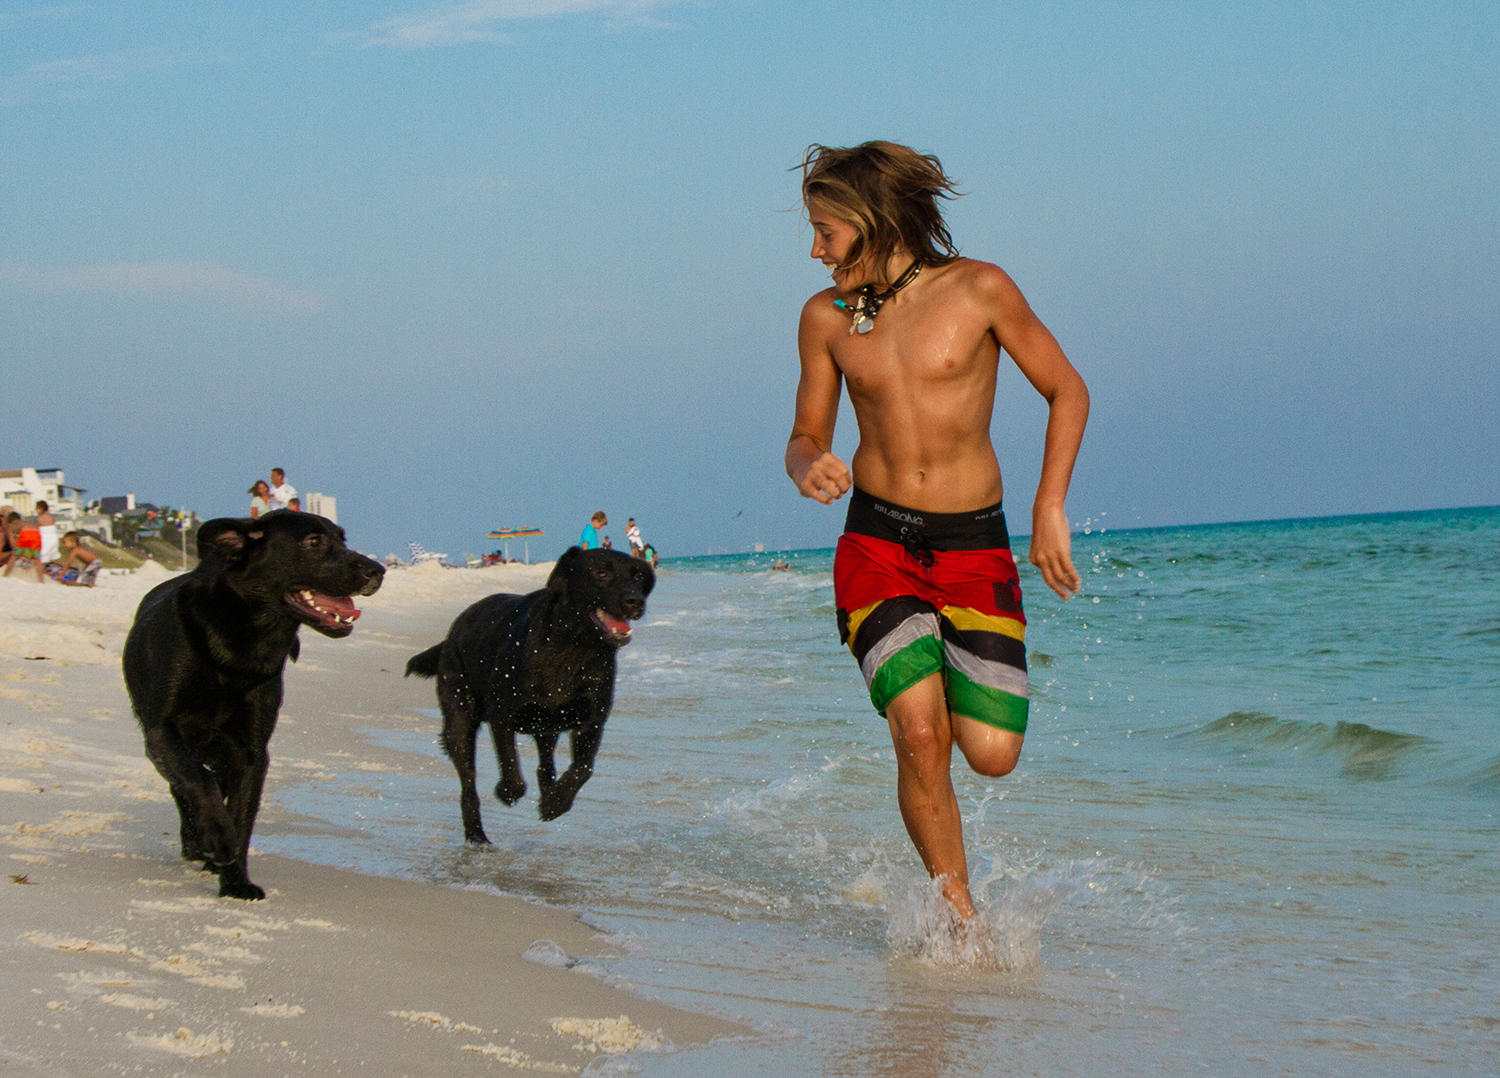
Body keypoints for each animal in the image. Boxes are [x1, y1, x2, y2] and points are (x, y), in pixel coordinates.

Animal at [123, 509, 384, 899]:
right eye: (313, 541)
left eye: (343, 538)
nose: (378, 571)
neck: (242, 641)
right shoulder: (162, 731)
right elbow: (197, 780)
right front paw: (216, 836)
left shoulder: (251, 751)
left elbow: (242, 817)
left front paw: (236, 883)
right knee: (183, 785)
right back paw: (196, 840)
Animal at [405, 548, 651, 845]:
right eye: (601, 572)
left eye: (637, 577)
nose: (635, 601)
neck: (573, 645)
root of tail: (451, 633)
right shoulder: (502, 714)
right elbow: (510, 763)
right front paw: (508, 791)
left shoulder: (592, 721)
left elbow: (583, 767)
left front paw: (556, 802)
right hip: (459, 719)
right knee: (468, 786)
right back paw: (477, 836)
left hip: (547, 726)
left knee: (545, 765)